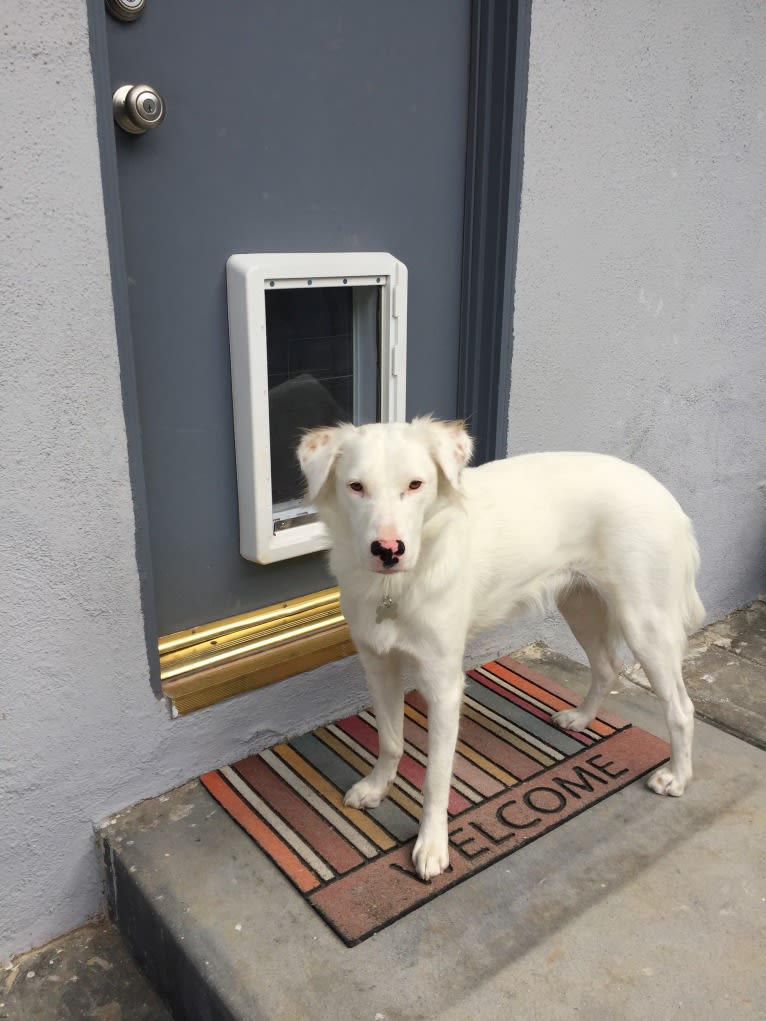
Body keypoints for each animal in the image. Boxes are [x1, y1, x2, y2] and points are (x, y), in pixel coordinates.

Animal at [296, 418, 706, 882]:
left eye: (416, 484)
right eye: (356, 487)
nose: (388, 551)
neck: (394, 587)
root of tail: (664, 494)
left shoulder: (444, 683)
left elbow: (436, 778)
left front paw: (432, 845)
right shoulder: (379, 665)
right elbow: (391, 740)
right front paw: (377, 787)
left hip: (645, 624)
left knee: (680, 708)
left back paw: (677, 777)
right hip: (579, 604)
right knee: (606, 665)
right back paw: (582, 719)